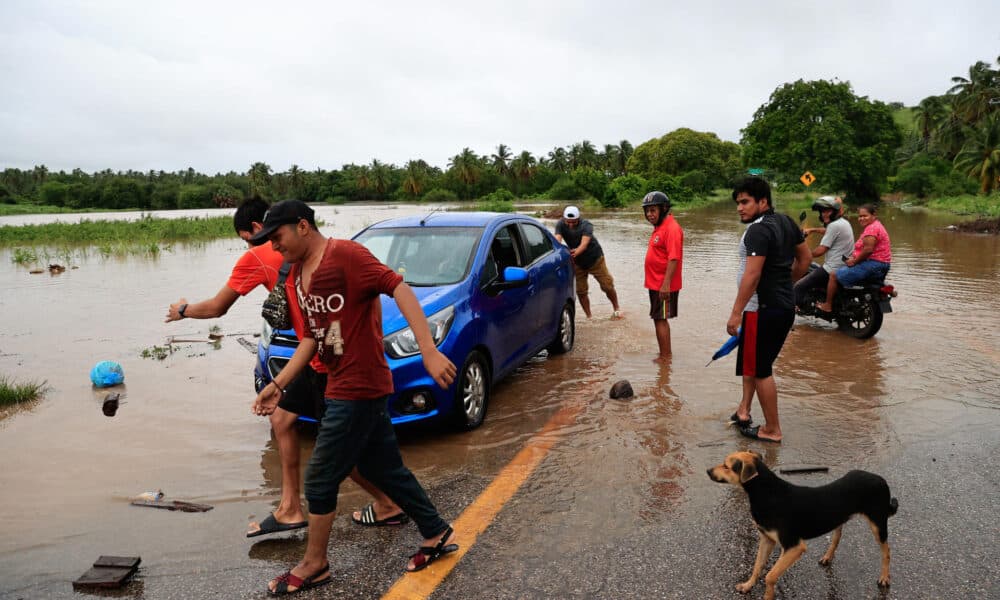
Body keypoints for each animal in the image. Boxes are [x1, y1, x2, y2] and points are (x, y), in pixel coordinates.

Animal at [708, 450, 904, 600]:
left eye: (726, 466)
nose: (707, 470)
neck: (766, 493)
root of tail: (880, 479)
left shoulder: (794, 546)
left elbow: (770, 576)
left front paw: (768, 596)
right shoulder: (767, 539)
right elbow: (757, 566)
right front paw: (748, 585)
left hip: (878, 524)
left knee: (886, 551)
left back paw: (884, 578)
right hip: (838, 518)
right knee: (837, 537)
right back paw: (827, 557)